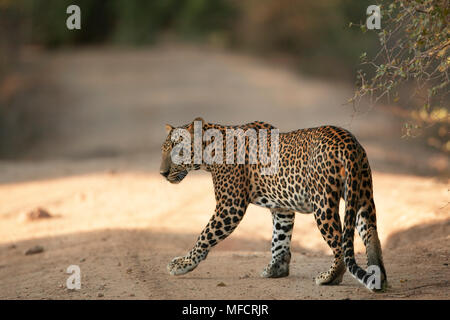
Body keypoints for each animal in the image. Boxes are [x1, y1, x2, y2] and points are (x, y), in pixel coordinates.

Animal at [161, 117, 386, 290]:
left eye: (177, 151)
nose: (162, 173)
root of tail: (348, 142)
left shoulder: (230, 206)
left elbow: (204, 236)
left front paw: (183, 264)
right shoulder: (282, 208)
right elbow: (280, 237)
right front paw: (277, 269)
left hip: (323, 202)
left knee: (340, 243)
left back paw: (330, 277)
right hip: (363, 193)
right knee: (371, 234)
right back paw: (379, 278)